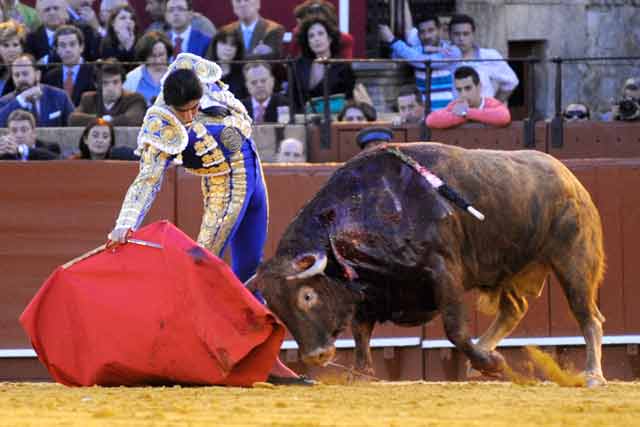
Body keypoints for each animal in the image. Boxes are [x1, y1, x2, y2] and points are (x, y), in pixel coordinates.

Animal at [248, 144, 608, 388]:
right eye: (276, 309)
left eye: (307, 296)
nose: (315, 356)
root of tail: (568, 176)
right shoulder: (368, 288)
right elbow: (361, 331)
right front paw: (362, 374)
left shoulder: (443, 270)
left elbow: (455, 330)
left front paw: (491, 362)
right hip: (517, 268)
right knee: (514, 309)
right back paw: (482, 360)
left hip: (574, 259)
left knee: (588, 315)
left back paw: (591, 375)